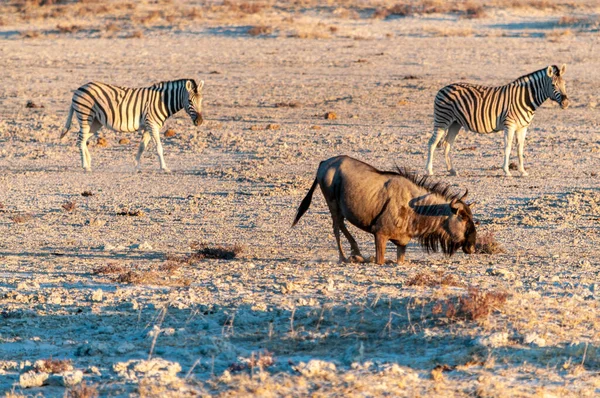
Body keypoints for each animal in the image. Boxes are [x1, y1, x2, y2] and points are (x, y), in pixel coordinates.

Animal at [60, 78, 204, 172]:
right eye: (190, 101)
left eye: (201, 100)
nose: (200, 121)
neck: (162, 102)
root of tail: (80, 88)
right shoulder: (152, 124)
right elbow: (159, 148)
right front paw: (164, 168)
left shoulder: (147, 126)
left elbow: (141, 147)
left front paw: (136, 166)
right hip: (85, 117)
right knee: (80, 141)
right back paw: (85, 166)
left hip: (95, 122)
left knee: (84, 140)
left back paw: (89, 163)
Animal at [424, 64, 568, 176]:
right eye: (553, 85)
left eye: (564, 84)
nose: (566, 103)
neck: (526, 98)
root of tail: (442, 88)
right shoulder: (509, 125)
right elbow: (507, 147)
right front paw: (507, 171)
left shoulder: (523, 127)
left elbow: (520, 149)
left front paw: (522, 171)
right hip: (442, 120)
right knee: (432, 143)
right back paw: (429, 171)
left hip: (455, 123)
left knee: (447, 144)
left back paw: (452, 170)